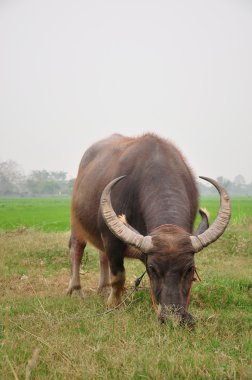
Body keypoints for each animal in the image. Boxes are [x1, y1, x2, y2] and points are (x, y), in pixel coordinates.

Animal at [68, 134, 231, 324]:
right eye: (152, 268)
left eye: (190, 268)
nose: (173, 317)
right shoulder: (111, 239)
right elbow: (118, 276)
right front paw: (114, 304)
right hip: (77, 223)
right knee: (77, 249)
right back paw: (76, 290)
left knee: (102, 256)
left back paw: (103, 289)